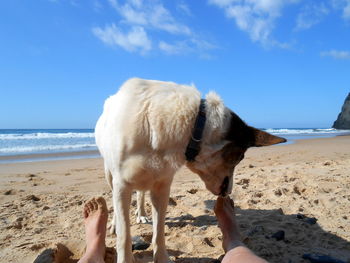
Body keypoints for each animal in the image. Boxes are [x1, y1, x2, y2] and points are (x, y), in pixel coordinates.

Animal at [94, 78, 286, 263]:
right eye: (239, 157)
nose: (228, 192)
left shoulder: (162, 186)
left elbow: (159, 230)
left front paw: (162, 258)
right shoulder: (122, 184)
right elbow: (124, 235)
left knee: (141, 192)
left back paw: (141, 214)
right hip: (109, 173)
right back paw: (114, 224)